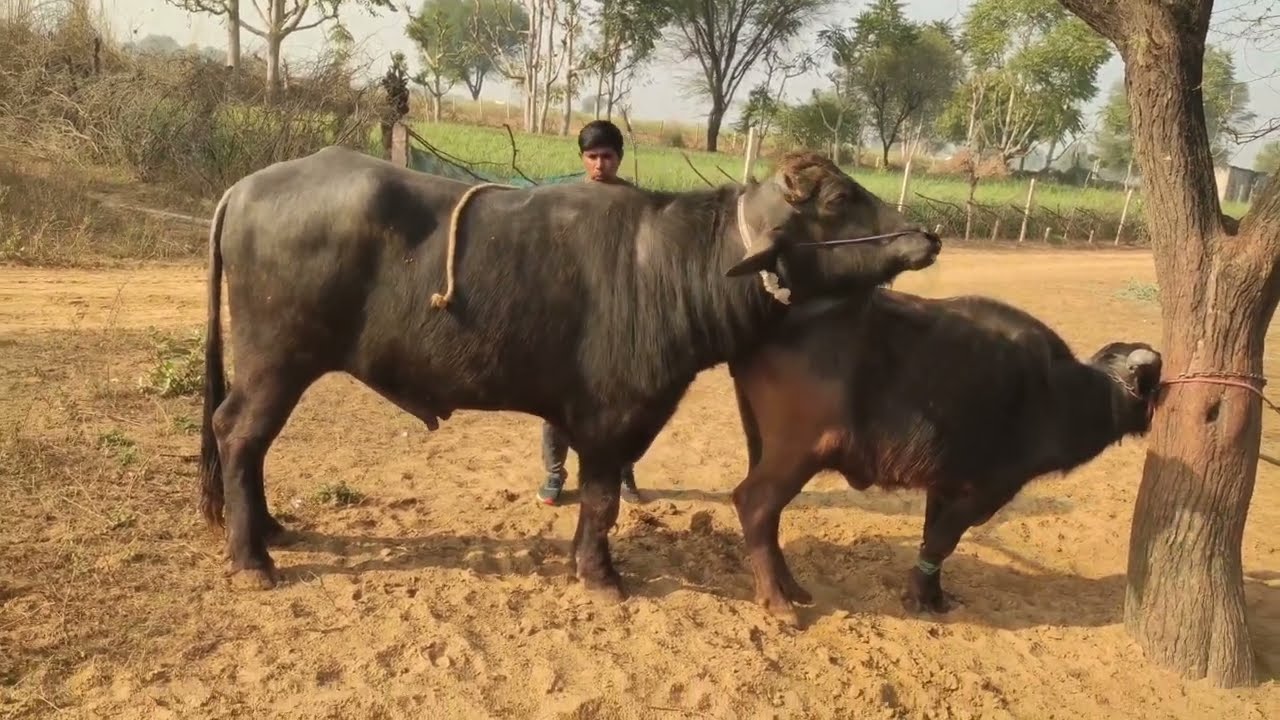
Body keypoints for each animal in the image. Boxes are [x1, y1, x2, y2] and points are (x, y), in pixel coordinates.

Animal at [198, 146, 942, 596]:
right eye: (839, 198)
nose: (927, 236)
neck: (670, 268)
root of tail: (245, 188)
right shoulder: (613, 420)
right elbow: (602, 501)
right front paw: (601, 575)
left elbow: (597, 500)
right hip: (276, 362)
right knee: (237, 433)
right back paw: (252, 557)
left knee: (249, 444)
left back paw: (267, 529)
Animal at [728, 289, 1162, 623]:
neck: (1056, 391)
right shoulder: (990, 489)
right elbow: (942, 540)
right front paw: (918, 598)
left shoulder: (944, 484)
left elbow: (930, 538)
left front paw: (934, 595)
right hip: (800, 451)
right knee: (754, 503)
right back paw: (777, 601)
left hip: (762, 444)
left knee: (769, 517)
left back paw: (791, 587)